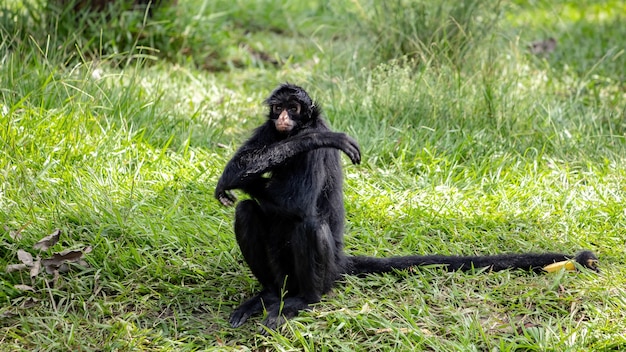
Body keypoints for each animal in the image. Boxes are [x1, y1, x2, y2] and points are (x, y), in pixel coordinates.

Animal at [213, 82, 596, 330]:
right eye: (278, 109)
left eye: (293, 109)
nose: (283, 119)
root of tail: (340, 261)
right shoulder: (268, 131)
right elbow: (240, 170)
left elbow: (299, 201)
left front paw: (317, 138)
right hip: (283, 272)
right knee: (247, 210)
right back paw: (268, 295)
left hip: (325, 271)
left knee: (308, 222)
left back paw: (303, 300)